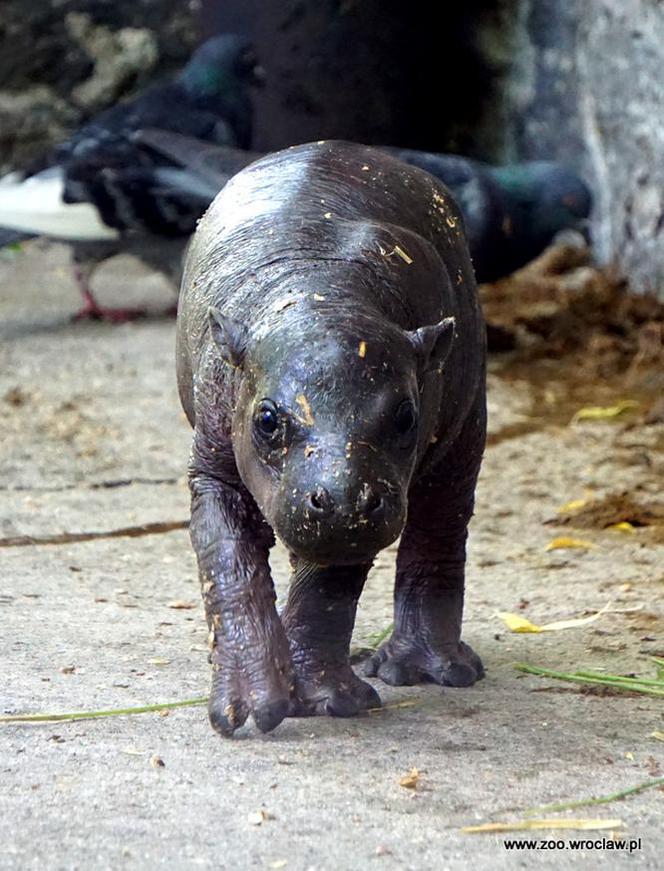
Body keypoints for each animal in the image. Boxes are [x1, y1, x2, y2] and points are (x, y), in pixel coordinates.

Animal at [176, 141, 488, 736]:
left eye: (405, 416)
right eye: (267, 419)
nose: (342, 498)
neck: (318, 296)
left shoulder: (358, 506)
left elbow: (327, 592)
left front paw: (327, 700)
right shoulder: (214, 466)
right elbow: (228, 565)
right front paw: (248, 710)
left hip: (464, 433)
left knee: (439, 526)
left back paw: (428, 669)